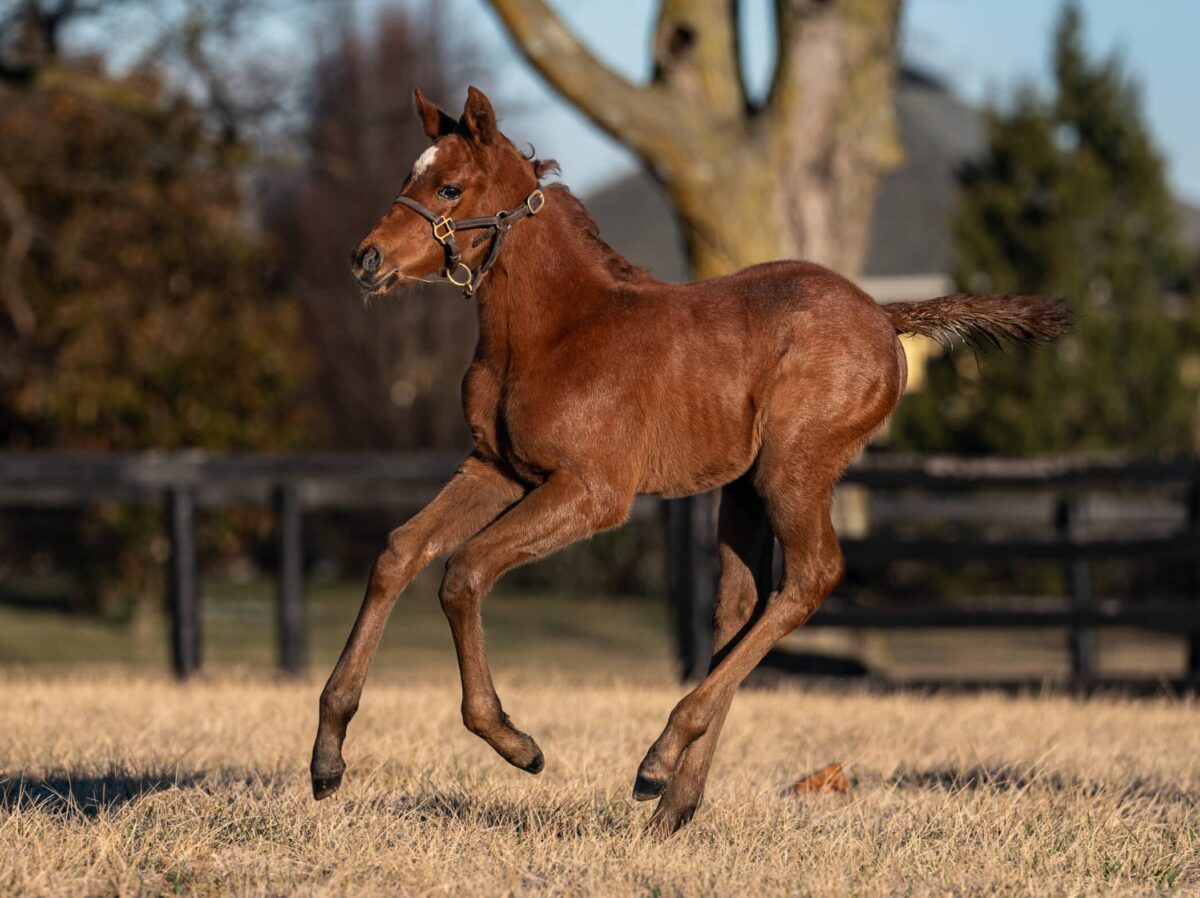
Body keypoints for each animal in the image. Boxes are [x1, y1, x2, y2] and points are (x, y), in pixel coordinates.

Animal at [309, 87, 1070, 830]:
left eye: (450, 188)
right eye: (409, 176)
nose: (364, 259)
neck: (554, 331)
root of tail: (886, 317)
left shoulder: (593, 492)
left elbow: (464, 571)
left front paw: (514, 742)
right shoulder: (496, 469)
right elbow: (400, 550)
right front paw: (327, 755)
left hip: (793, 470)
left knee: (812, 577)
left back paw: (659, 757)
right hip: (743, 490)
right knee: (743, 608)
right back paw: (673, 804)